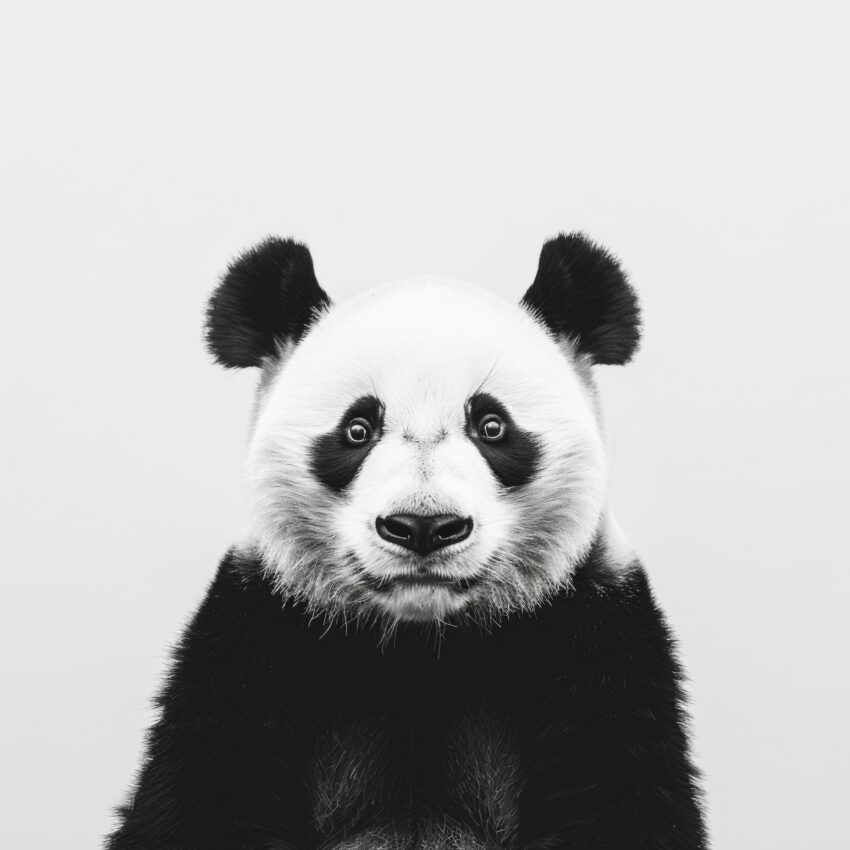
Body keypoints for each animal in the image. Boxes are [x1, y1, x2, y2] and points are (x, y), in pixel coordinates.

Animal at [107, 234, 708, 850]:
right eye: (357, 429)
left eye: (492, 426)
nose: (424, 527)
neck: (423, 648)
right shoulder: (254, 632)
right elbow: (207, 791)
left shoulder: (596, 633)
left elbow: (617, 792)